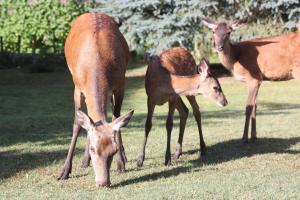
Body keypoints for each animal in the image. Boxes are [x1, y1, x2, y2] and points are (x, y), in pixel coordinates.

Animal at [57, 12, 134, 188]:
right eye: (93, 149)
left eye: (113, 150)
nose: (103, 182)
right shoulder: (77, 87)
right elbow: (78, 124)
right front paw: (64, 172)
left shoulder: (120, 84)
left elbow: (116, 118)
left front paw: (120, 163)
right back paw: (84, 161)